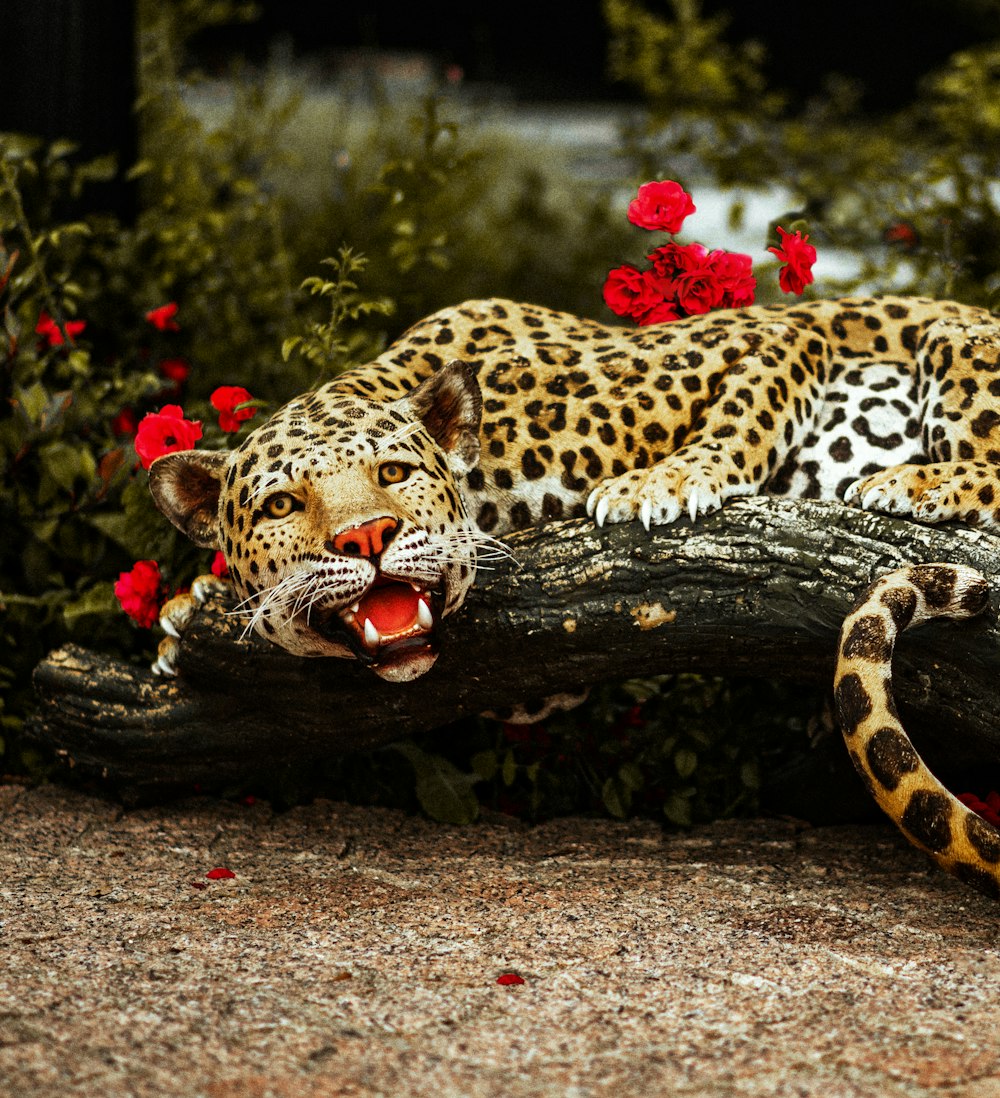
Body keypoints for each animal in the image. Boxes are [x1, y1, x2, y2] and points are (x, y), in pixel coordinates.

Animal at [148, 296, 1000, 895]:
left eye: (394, 473)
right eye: (281, 505)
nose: (368, 536)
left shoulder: (775, 336)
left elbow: (742, 413)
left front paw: (667, 481)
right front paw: (190, 608)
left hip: (955, 340)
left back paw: (914, 482)